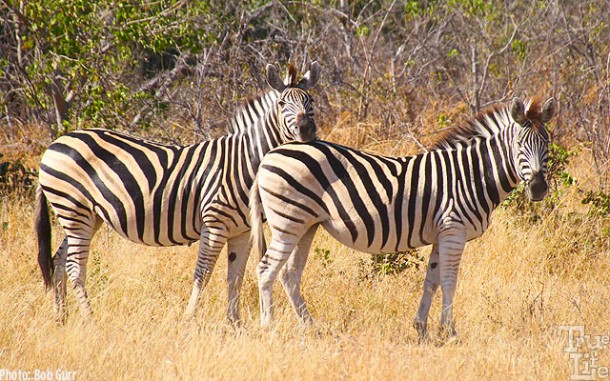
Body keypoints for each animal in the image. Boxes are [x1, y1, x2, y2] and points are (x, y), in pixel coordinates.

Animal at [33, 60, 320, 322]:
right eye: (282, 103)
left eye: (311, 102)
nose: (307, 130)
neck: (242, 161)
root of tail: (56, 142)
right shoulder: (214, 224)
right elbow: (203, 273)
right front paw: (189, 319)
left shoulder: (241, 230)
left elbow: (235, 277)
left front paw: (235, 325)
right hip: (73, 208)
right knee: (74, 266)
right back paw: (89, 319)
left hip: (86, 216)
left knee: (58, 261)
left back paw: (61, 318)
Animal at [249, 95, 552, 338]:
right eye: (519, 144)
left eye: (547, 145)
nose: (538, 188)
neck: (471, 174)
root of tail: (268, 156)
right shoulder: (454, 231)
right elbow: (449, 281)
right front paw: (450, 331)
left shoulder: (441, 233)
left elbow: (431, 281)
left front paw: (421, 328)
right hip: (288, 221)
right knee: (266, 269)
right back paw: (269, 327)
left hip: (306, 225)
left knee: (289, 273)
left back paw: (310, 326)